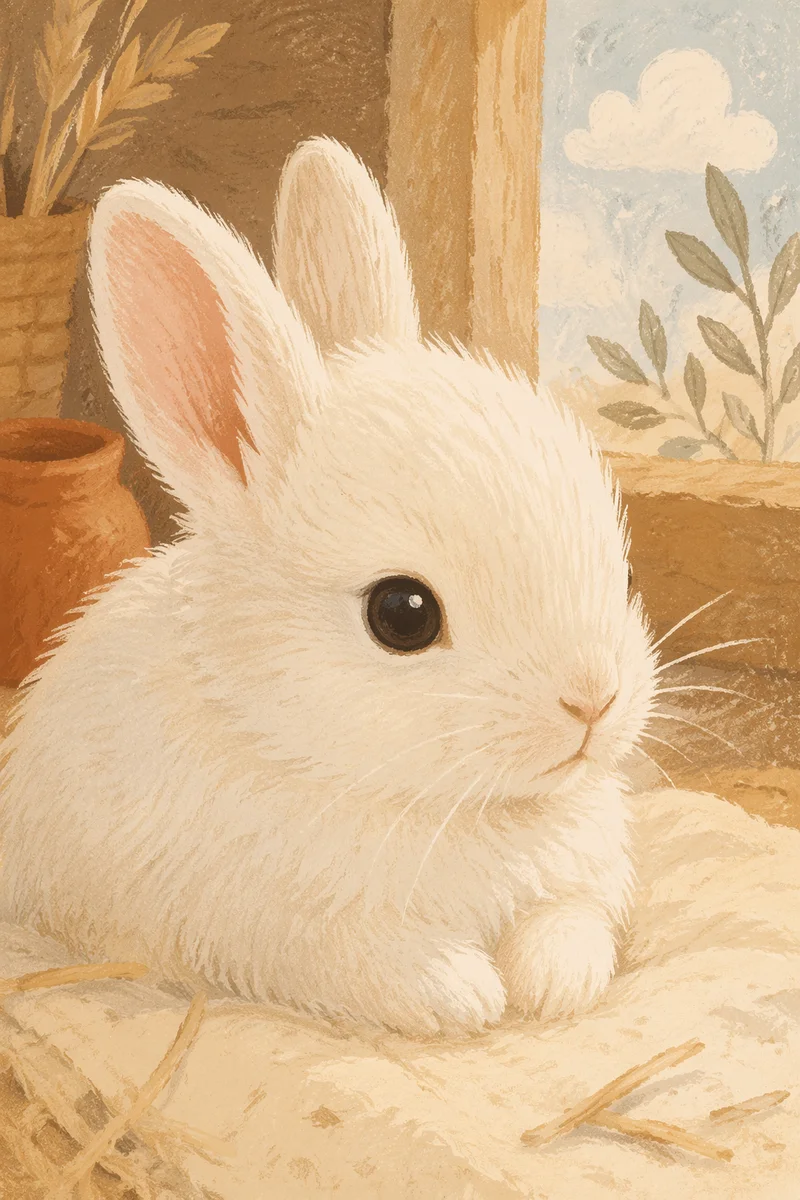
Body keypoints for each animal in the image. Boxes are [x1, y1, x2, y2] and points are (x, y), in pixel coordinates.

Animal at [0, 138, 657, 1037]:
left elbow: (571, 922)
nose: (592, 700)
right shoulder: (268, 930)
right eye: (402, 615)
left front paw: (555, 983)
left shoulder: (583, 878)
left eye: (623, 569)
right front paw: (464, 991)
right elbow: (362, 959)